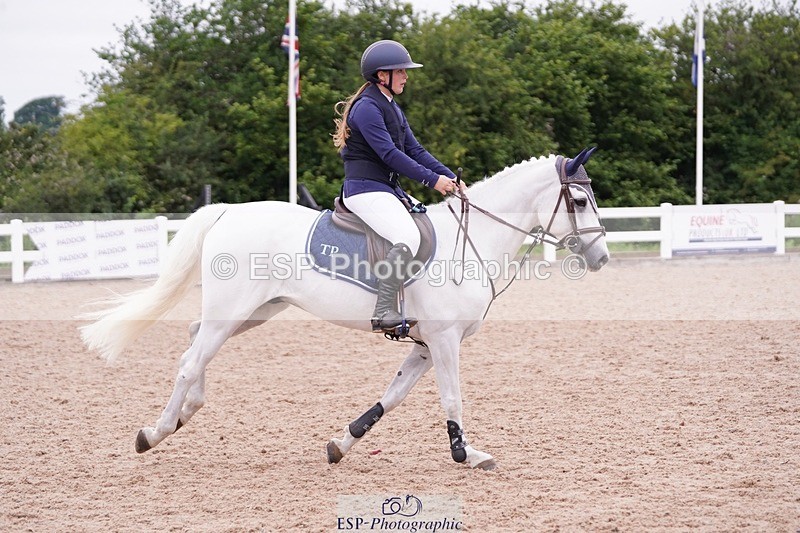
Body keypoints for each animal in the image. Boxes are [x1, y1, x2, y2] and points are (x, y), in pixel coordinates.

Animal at [80, 148, 609, 471]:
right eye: (580, 200)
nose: (601, 258)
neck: (472, 242)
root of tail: (229, 210)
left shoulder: (424, 344)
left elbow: (391, 397)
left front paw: (342, 443)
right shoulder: (443, 340)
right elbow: (452, 398)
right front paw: (466, 455)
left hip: (255, 311)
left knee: (194, 340)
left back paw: (185, 414)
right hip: (233, 311)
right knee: (191, 360)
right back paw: (155, 432)